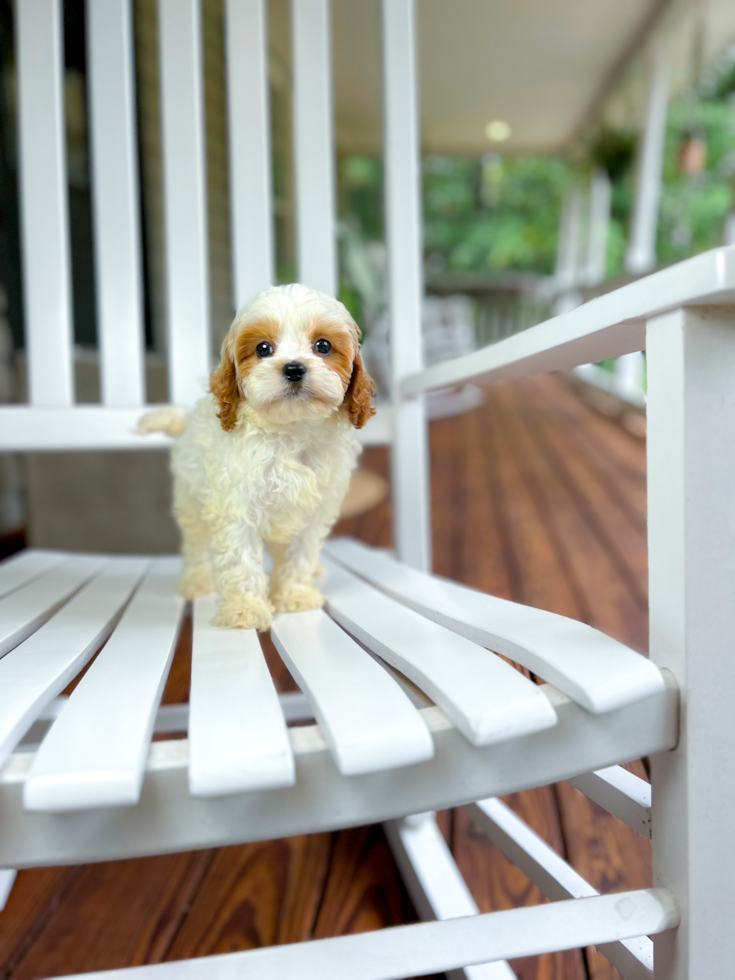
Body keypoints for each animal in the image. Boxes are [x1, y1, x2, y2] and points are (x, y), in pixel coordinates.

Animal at [142, 284, 376, 636]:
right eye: (263, 349)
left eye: (323, 345)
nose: (293, 368)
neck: (291, 432)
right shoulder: (235, 506)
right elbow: (241, 561)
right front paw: (246, 610)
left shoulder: (313, 509)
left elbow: (300, 554)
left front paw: (293, 596)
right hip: (190, 499)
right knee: (196, 544)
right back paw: (196, 582)